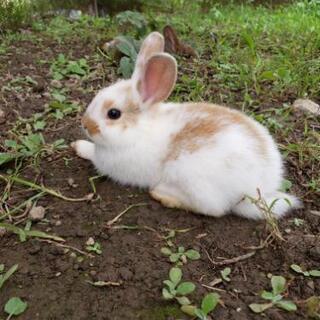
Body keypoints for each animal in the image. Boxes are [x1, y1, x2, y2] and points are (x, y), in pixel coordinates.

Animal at [72, 31, 300, 219]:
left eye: (113, 114)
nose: (85, 124)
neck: (139, 129)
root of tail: (261, 187)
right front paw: (78, 145)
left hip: (193, 179)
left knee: (213, 209)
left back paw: (163, 194)